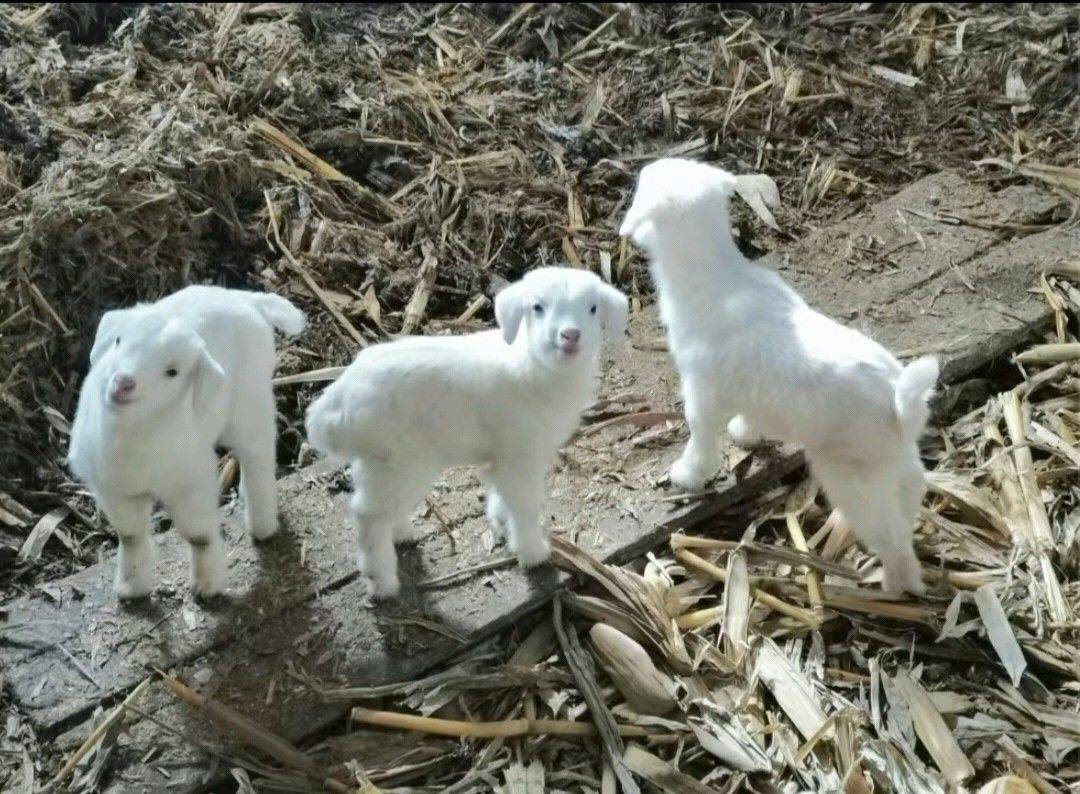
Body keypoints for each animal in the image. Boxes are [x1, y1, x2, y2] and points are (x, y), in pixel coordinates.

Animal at [67, 285, 306, 600]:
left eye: (173, 372)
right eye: (118, 340)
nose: (122, 383)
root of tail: (246, 298)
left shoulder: (190, 486)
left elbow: (199, 536)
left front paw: (207, 586)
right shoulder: (114, 491)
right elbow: (130, 536)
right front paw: (132, 585)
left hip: (249, 405)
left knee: (258, 456)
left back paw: (262, 524)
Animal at [304, 266, 629, 598]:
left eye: (593, 308)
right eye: (537, 307)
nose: (570, 335)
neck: (533, 365)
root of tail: (334, 404)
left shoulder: (504, 455)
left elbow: (501, 492)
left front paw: (500, 521)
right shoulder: (520, 454)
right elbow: (525, 505)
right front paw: (533, 553)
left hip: (377, 461)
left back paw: (402, 534)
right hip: (398, 459)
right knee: (367, 515)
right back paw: (382, 583)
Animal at [620, 158, 937, 595]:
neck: (717, 275)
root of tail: (899, 406)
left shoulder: (701, 387)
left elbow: (700, 434)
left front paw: (687, 475)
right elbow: (750, 416)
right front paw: (745, 433)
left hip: (855, 482)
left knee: (892, 541)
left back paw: (890, 586)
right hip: (899, 469)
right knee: (908, 513)